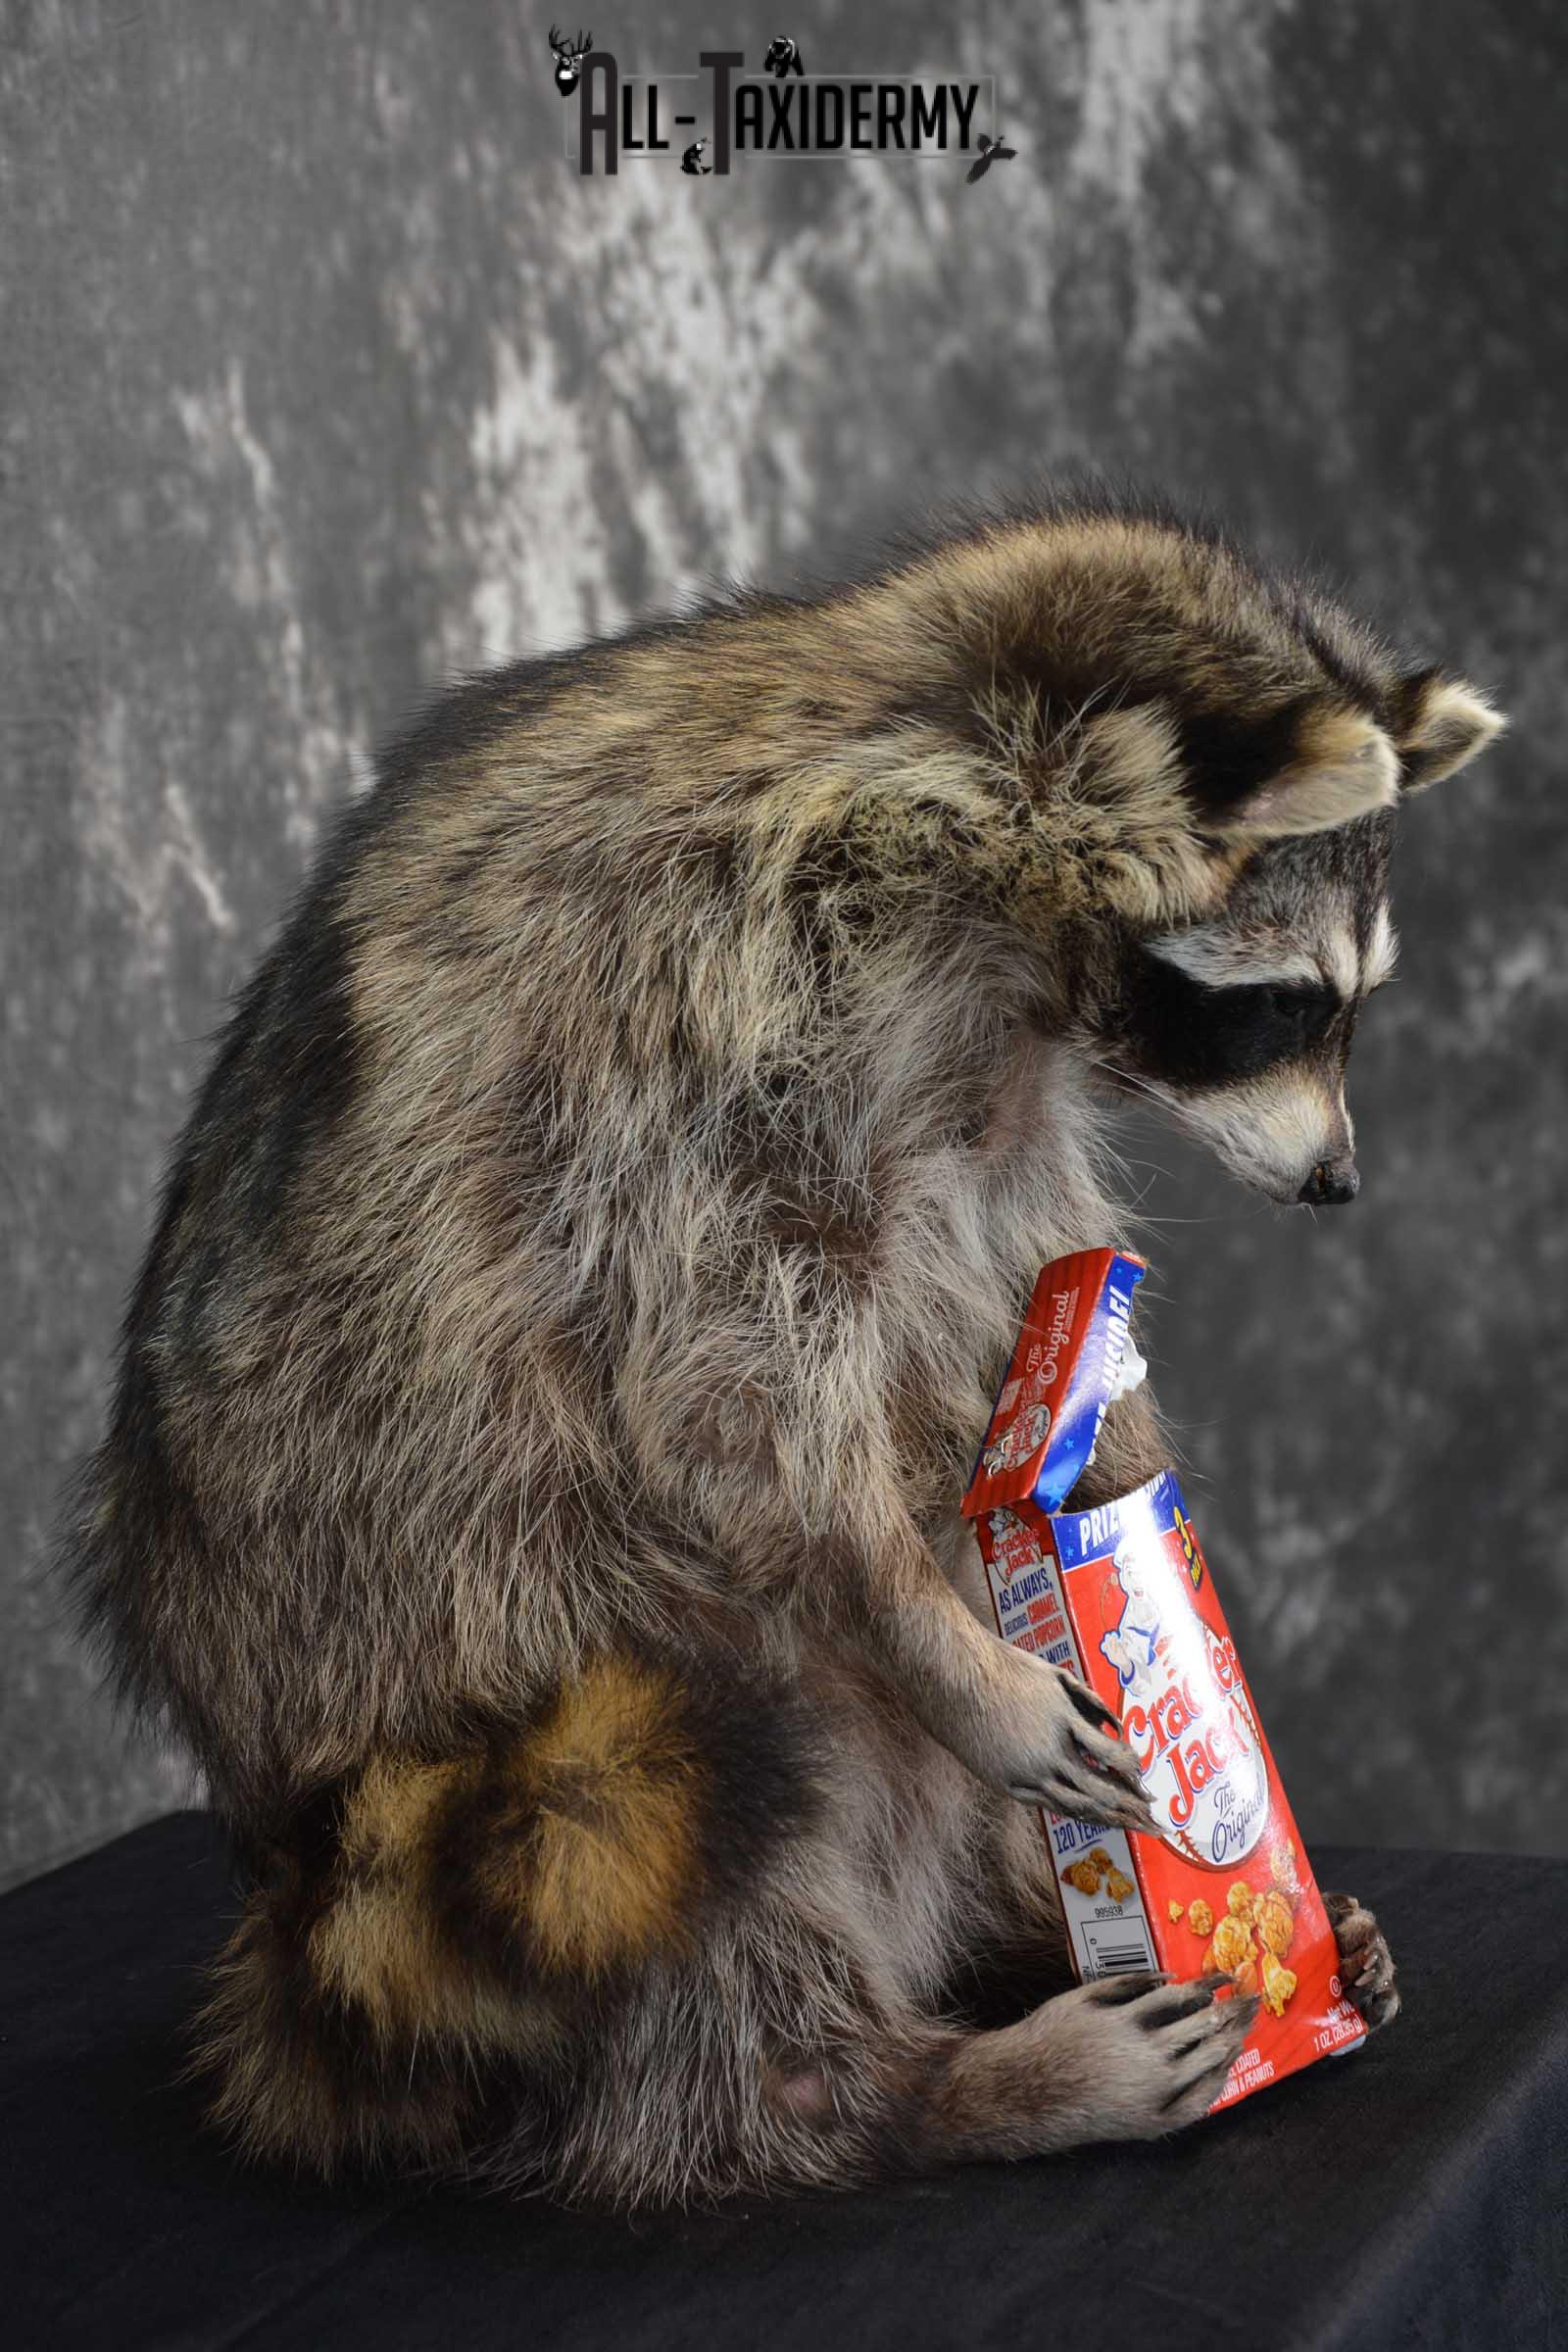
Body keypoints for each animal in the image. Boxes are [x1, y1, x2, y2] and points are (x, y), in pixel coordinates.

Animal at [68, 492, 1500, 2204]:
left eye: (1355, 1005)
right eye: (1278, 1006)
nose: (1339, 1181)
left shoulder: (983, 1083)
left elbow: (1014, 1285)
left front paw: (1114, 1472)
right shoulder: (691, 1017)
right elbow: (721, 1383)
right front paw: (937, 1636)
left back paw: (1024, 1926)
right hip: (543, 1706)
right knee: (736, 1827)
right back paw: (897, 2084)